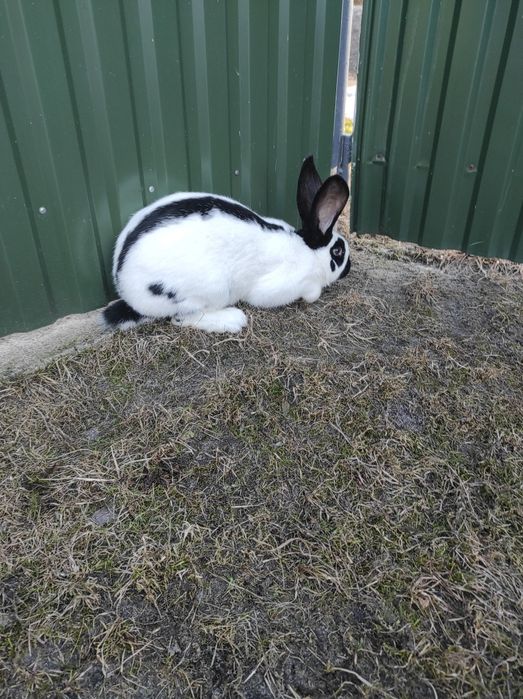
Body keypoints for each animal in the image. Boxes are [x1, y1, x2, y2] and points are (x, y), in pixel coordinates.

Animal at [102, 155, 350, 333]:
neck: (308, 249)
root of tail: (125, 288)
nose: (349, 269)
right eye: (338, 251)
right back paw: (233, 320)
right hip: (211, 289)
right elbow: (310, 293)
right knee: (180, 317)